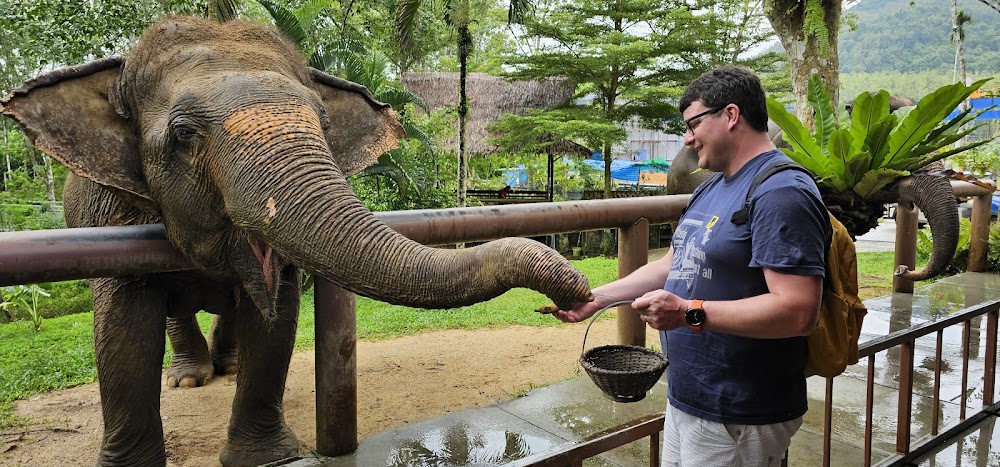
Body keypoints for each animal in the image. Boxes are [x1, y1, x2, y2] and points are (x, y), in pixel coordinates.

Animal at [0, 16, 592, 466]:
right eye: (184, 133)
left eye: (324, 123)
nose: (577, 296)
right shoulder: (106, 205)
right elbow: (123, 327)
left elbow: (278, 316)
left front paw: (265, 458)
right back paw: (191, 380)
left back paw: (226, 366)